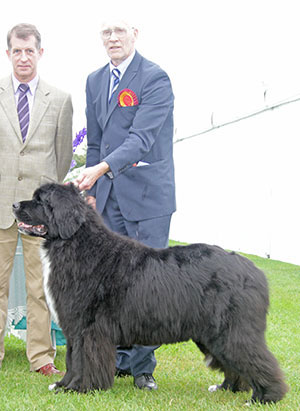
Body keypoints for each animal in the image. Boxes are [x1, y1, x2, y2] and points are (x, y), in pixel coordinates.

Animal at [12, 184, 288, 406]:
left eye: (40, 200)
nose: (14, 204)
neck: (75, 243)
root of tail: (254, 271)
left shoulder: (88, 329)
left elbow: (83, 359)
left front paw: (79, 389)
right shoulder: (75, 328)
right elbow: (72, 359)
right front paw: (63, 385)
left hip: (232, 330)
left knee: (259, 360)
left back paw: (264, 398)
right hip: (214, 334)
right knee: (235, 364)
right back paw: (227, 388)